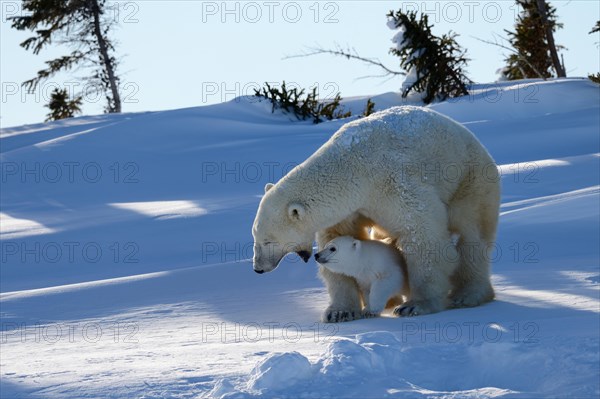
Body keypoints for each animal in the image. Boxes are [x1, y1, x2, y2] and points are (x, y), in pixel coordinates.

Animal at [253, 105, 502, 322]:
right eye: (255, 237)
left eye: (268, 241)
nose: (258, 268)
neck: (351, 168)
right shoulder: (351, 208)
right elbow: (341, 241)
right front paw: (340, 312)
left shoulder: (393, 183)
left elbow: (422, 233)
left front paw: (416, 305)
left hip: (469, 181)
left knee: (471, 234)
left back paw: (469, 294)